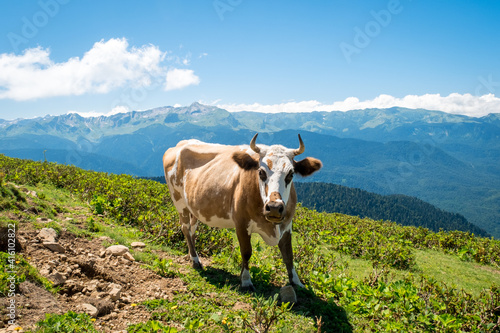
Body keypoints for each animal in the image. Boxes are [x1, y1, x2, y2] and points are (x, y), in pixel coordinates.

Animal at [162, 134, 322, 290]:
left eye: (291, 174)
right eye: (261, 172)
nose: (274, 207)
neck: (271, 227)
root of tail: (179, 145)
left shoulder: (287, 225)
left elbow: (288, 255)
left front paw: (297, 282)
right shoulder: (241, 223)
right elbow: (246, 252)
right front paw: (245, 280)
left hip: (194, 206)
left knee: (192, 229)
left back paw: (192, 255)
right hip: (179, 202)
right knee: (185, 228)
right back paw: (195, 261)